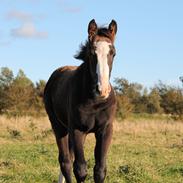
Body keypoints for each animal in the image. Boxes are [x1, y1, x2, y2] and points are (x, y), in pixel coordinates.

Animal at [44, 19, 117, 183]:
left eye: (113, 53)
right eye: (92, 53)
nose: (102, 90)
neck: (95, 102)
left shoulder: (105, 130)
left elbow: (100, 170)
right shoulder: (77, 130)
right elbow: (80, 169)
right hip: (59, 127)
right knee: (65, 161)